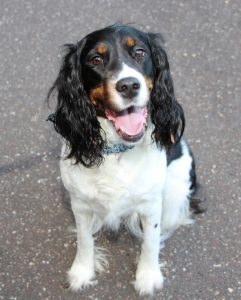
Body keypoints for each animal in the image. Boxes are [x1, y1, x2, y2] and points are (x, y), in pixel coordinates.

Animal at [47, 23, 203, 296]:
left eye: (139, 52)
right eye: (96, 59)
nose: (129, 85)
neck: (118, 151)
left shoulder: (151, 204)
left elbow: (151, 241)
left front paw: (148, 276)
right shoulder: (80, 202)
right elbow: (84, 240)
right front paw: (82, 271)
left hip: (175, 189)